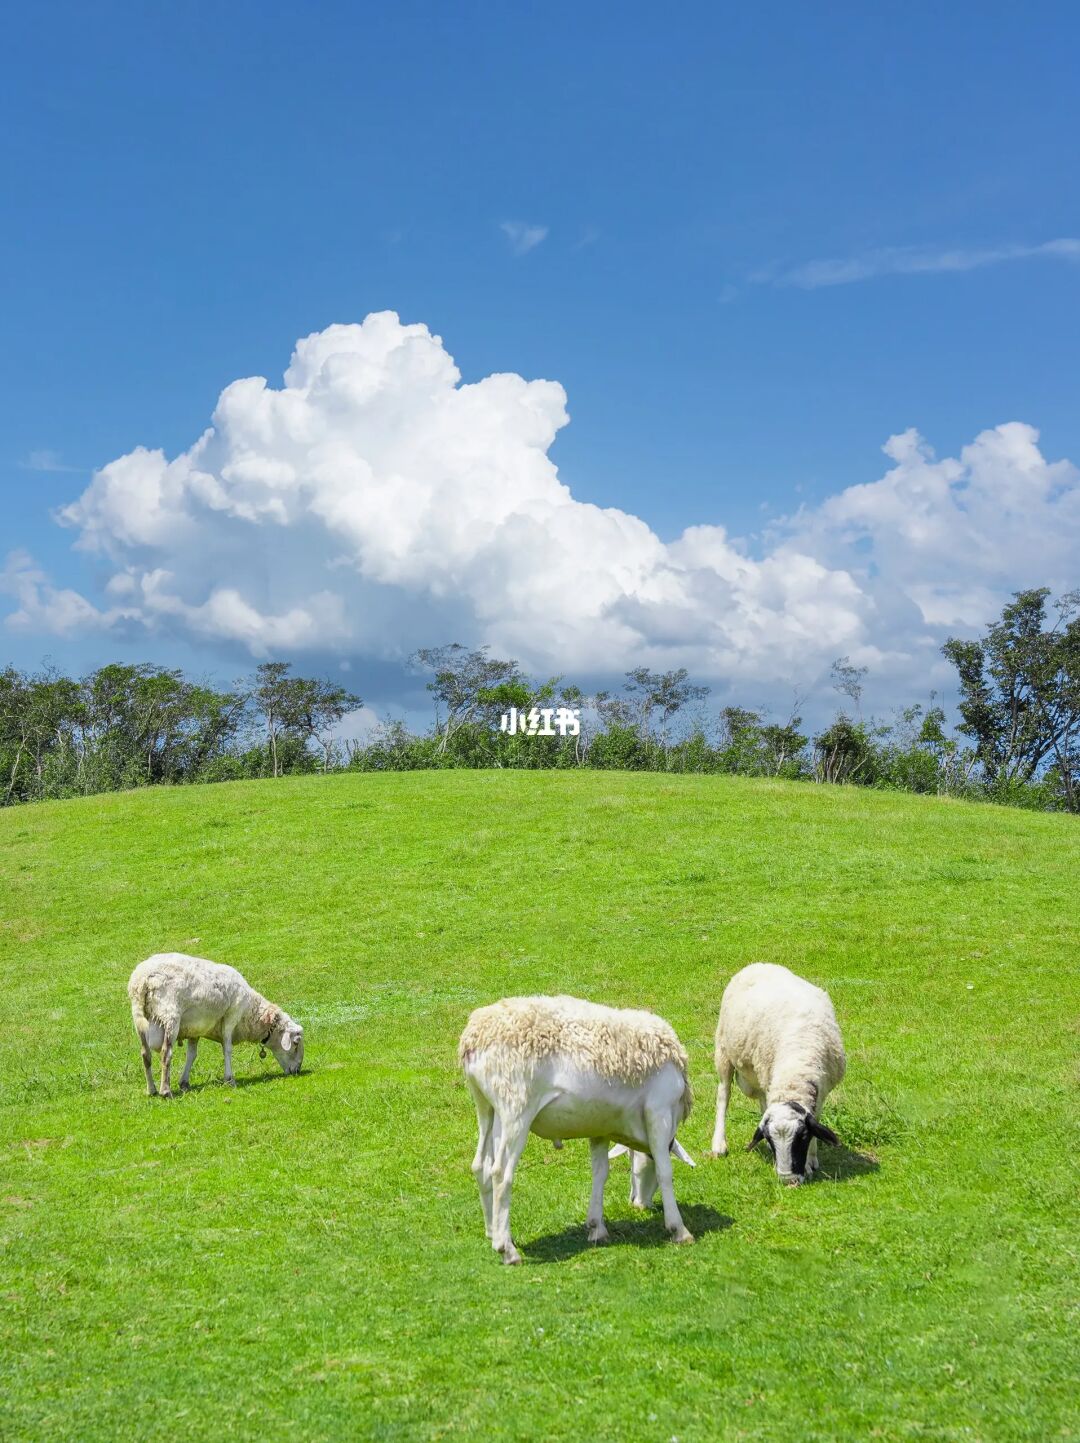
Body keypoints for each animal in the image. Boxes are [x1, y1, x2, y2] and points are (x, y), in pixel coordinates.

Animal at [128, 952, 303, 1096]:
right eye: (295, 1043)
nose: (297, 1071)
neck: (250, 1013)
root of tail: (144, 979)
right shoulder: (232, 1015)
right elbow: (227, 1049)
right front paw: (229, 1079)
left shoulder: (195, 1028)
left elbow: (192, 1055)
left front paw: (184, 1083)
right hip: (170, 1015)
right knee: (166, 1053)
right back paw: (165, 1091)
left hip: (139, 1019)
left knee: (145, 1054)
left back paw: (151, 1090)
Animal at [459, 992, 695, 1264]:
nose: (638, 1205)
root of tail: (474, 1038)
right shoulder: (659, 1111)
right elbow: (665, 1171)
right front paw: (679, 1229)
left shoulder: (601, 1127)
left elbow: (600, 1173)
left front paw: (596, 1227)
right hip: (515, 1108)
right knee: (500, 1173)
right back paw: (506, 1248)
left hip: (487, 1107)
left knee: (481, 1166)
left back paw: (493, 1231)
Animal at [707, 963, 843, 1189]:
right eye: (770, 1138)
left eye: (802, 1137)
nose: (788, 1180)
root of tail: (758, 964)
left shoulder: (822, 1090)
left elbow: (816, 1119)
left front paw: (811, 1160)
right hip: (724, 1051)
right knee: (723, 1095)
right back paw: (719, 1144)